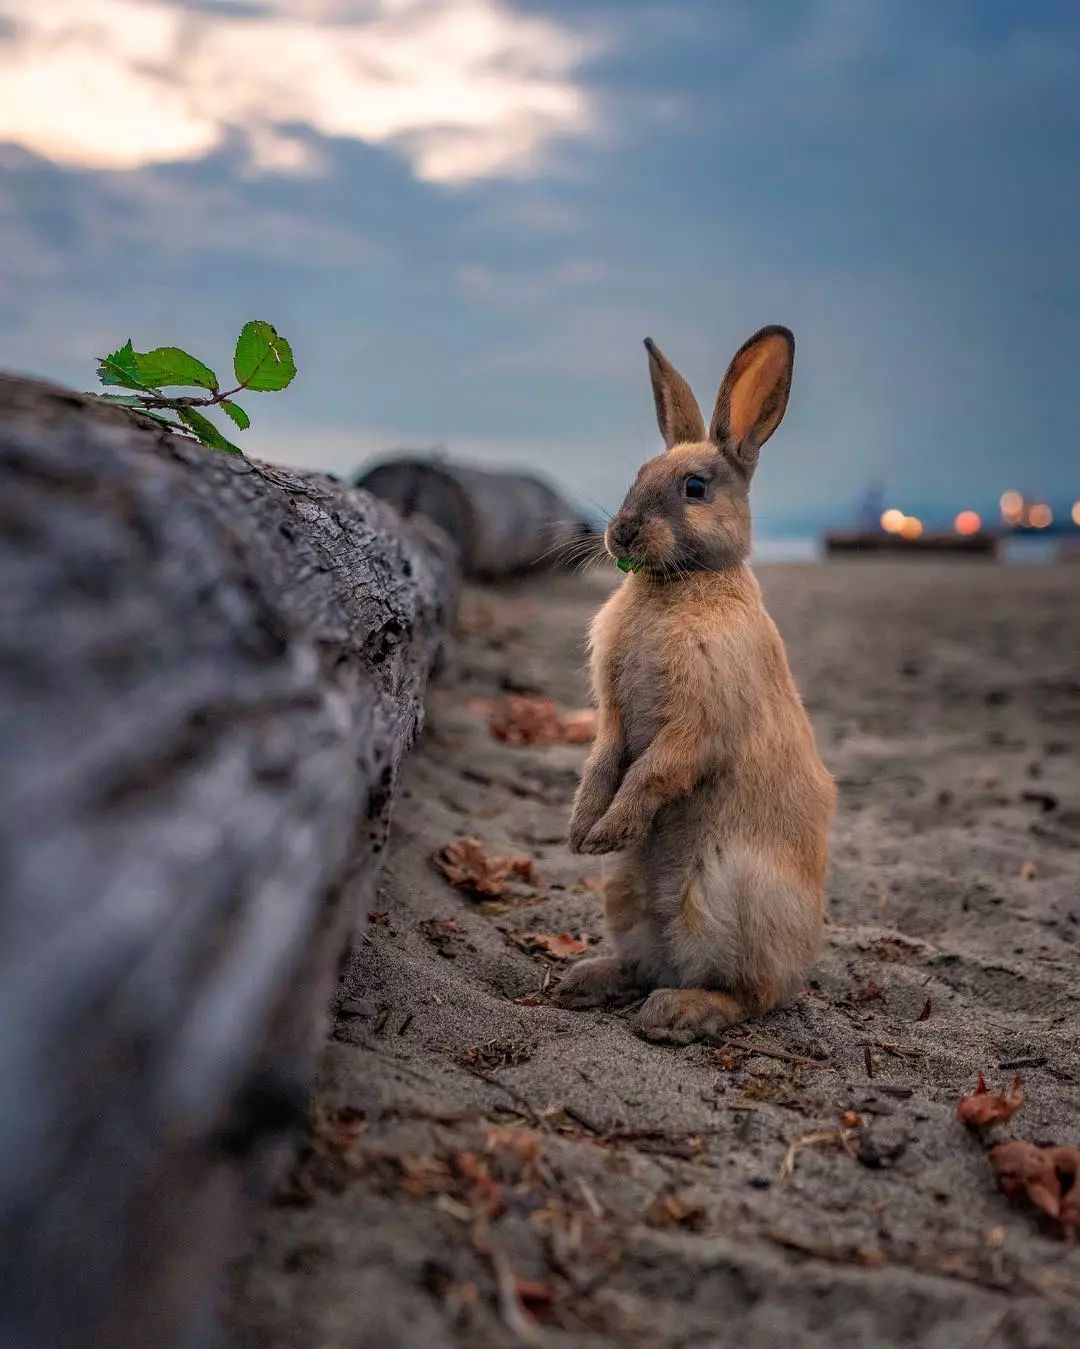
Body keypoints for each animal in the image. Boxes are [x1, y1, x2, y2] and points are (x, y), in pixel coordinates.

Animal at [555, 323, 835, 1041]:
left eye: (695, 489)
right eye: (636, 476)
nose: (622, 531)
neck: (678, 582)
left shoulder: (696, 726)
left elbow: (652, 772)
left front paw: (608, 830)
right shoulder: (613, 718)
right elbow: (603, 762)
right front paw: (582, 832)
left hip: (722, 896)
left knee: (749, 995)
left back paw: (677, 1011)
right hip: (625, 897)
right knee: (646, 964)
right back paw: (584, 980)